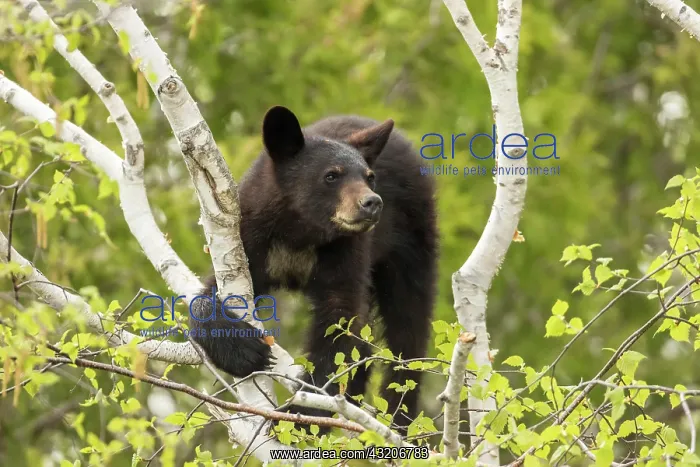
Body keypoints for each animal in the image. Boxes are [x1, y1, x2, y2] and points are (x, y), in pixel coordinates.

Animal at [189, 105, 438, 432]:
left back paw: (399, 415)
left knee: (408, 327)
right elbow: (208, 294)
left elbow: (339, 320)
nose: (372, 202)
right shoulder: (247, 239)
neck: (300, 232)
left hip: (411, 238)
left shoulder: (346, 252)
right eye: (331, 175)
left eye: (369, 177)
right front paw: (243, 351)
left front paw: (302, 415)